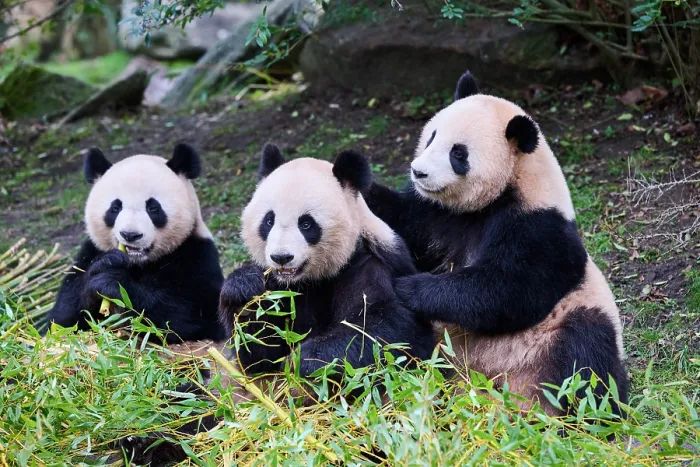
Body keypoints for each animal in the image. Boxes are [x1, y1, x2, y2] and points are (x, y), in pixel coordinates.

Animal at [47, 144, 225, 343]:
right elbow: (61, 321)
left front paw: (113, 283)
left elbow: (194, 313)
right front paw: (106, 264)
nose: (130, 235)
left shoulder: (196, 254)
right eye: (115, 207)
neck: (138, 262)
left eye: (153, 207)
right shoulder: (89, 253)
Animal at [218, 144, 436, 377]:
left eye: (306, 224)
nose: (281, 257)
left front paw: (304, 360)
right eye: (269, 221)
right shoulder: (281, 288)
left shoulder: (368, 262)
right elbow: (259, 354)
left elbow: (389, 329)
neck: (309, 279)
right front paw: (243, 287)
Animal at [364, 71, 628, 416]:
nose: (418, 172)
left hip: (569, 326)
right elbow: (403, 223)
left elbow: (508, 290)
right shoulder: (437, 214)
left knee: (589, 353)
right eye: (431, 137)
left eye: (458, 153)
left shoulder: (540, 227)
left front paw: (410, 287)